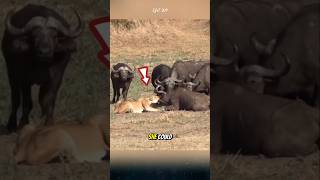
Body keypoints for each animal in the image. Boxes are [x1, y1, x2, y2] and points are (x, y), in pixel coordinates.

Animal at [1, 3, 82, 131]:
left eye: (54, 36)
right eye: (34, 35)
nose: (44, 52)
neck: (41, 65)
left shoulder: (56, 77)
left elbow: (48, 100)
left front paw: (48, 123)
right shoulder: (25, 79)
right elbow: (27, 102)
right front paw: (23, 124)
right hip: (11, 73)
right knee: (15, 98)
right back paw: (12, 125)